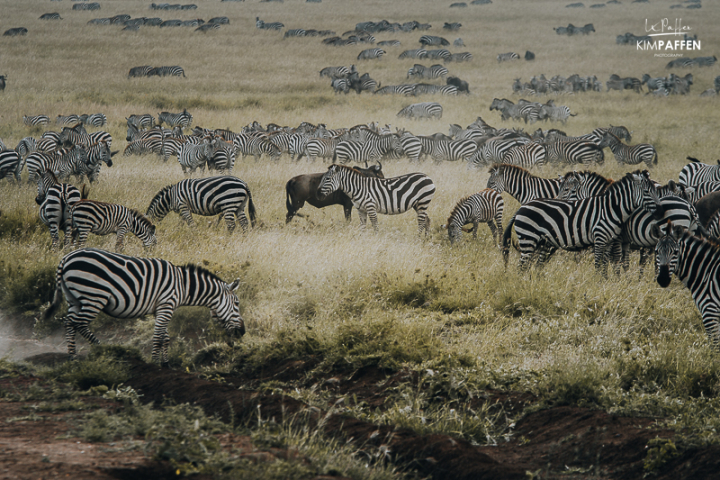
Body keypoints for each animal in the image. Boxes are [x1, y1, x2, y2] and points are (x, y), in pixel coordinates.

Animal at [504, 169, 660, 276]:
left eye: (654, 191)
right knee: (523, 266)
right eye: (647, 192)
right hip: (529, 238)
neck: (611, 208)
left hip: (538, 241)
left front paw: (606, 281)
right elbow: (602, 263)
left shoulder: (610, 240)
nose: (660, 209)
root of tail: (521, 208)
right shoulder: (602, 238)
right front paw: (600, 282)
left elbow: (606, 263)